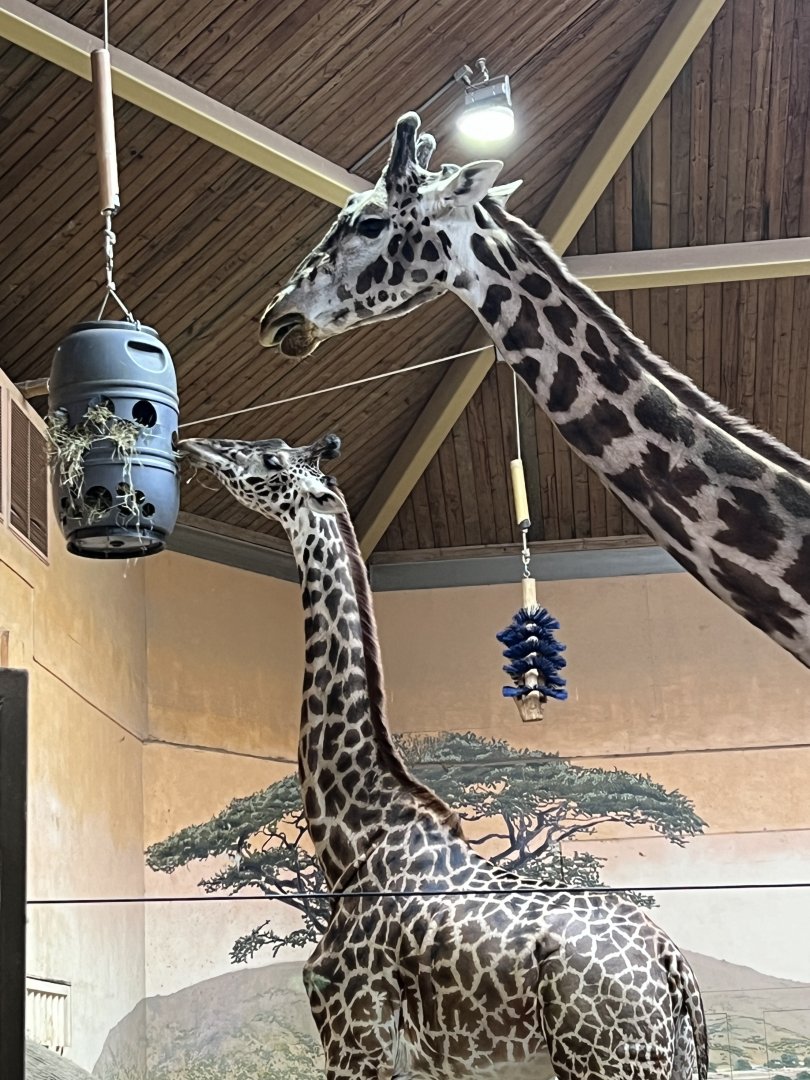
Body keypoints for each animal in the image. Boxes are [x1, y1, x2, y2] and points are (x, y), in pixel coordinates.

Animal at [181, 431, 708, 1080]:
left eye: (273, 461)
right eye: (274, 445)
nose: (195, 445)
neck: (355, 838)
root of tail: (672, 967)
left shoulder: (356, 1038)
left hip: (606, 1060)